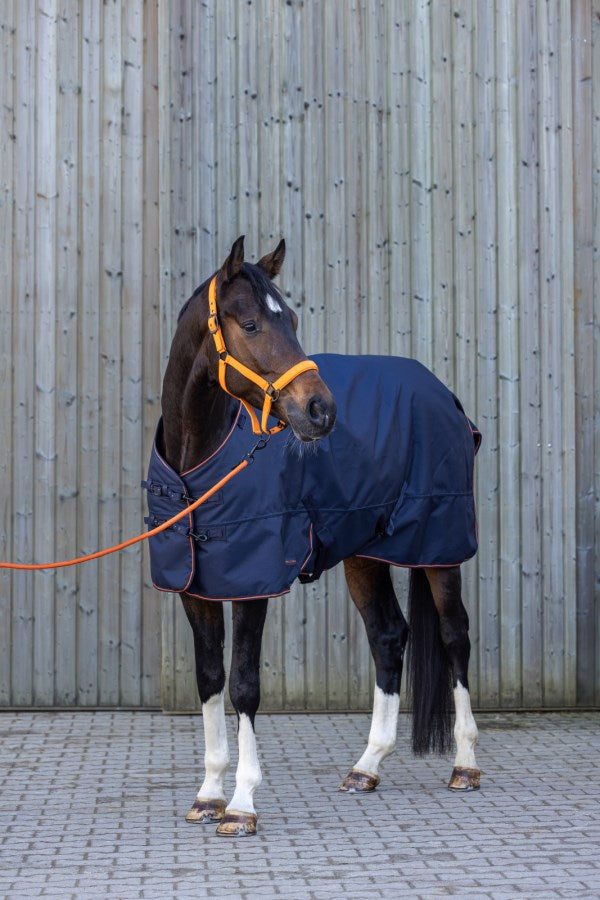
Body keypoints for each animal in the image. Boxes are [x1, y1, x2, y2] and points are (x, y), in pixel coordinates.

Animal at [146, 236, 481, 836]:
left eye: (294, 319)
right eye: (251, 324)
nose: (320, 411)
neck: (198, 466)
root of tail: (443, 394)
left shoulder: (253, 584)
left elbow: (244, 684)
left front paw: (242, 805)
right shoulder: (194, 588)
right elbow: (210, 679)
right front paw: (208, 795)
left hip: (439, 547)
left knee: (454, 636)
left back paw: (465, 764)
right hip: (365, 554)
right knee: (388, 636)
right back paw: (366, 767)